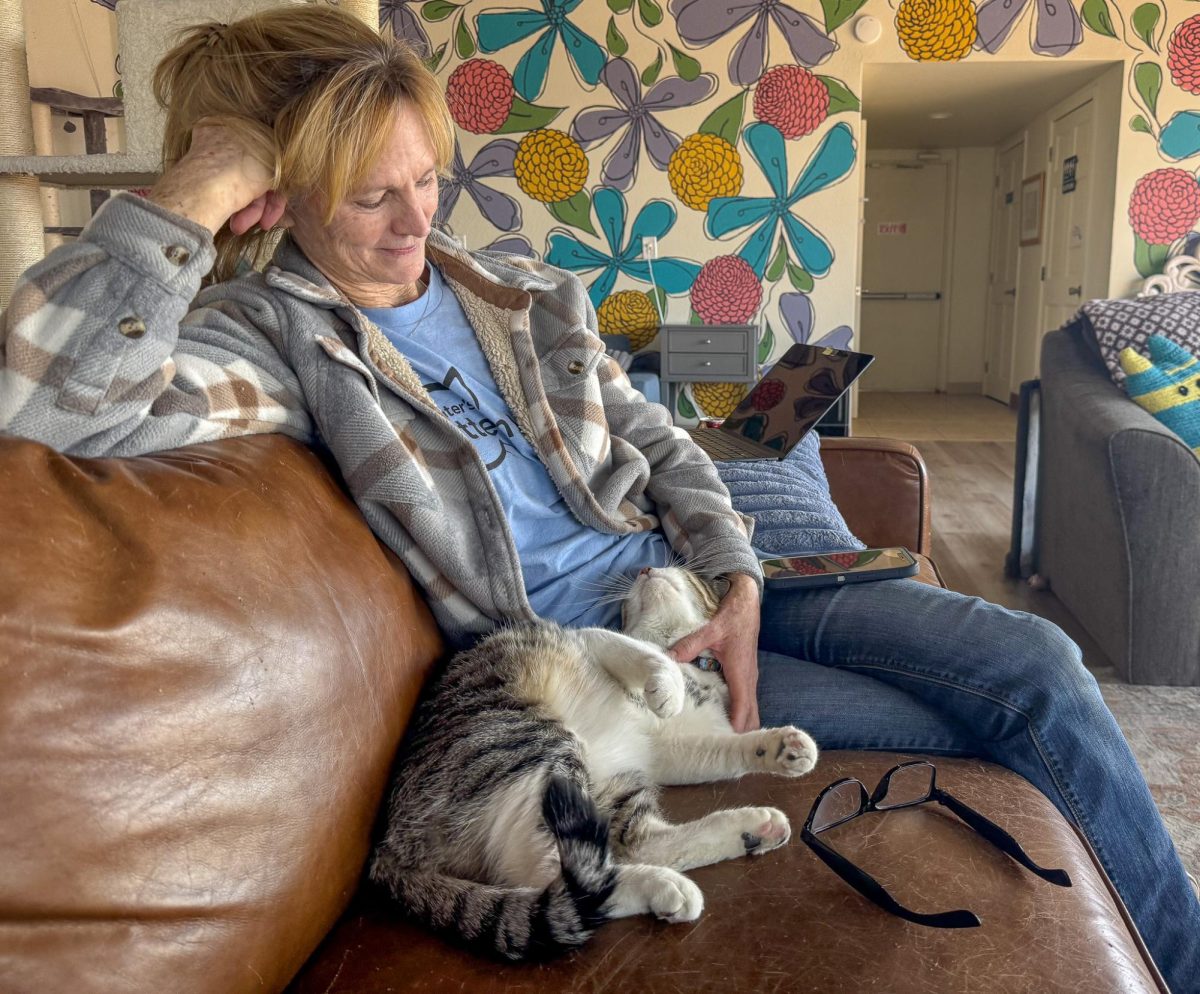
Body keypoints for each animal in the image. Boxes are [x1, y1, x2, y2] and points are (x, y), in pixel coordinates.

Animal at [369, 566, 820, 965]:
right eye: (627, 602)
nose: (645, 567)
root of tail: (389, 849)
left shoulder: (672, 751)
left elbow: (724, 752)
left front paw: (779, 748)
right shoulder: (591, 639)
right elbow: (649, 655)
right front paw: (667, 689)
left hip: (612, 782)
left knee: (635, 843)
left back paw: (752, 831)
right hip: (540, 747)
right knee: (551, 874)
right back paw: (661, 884)